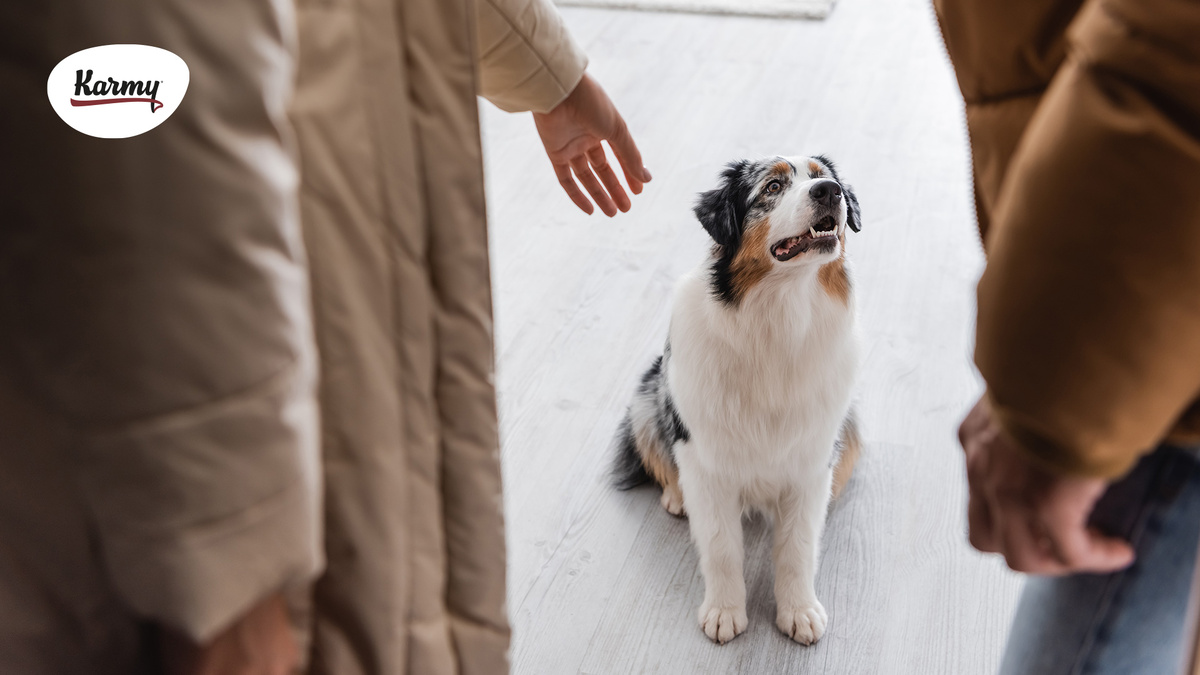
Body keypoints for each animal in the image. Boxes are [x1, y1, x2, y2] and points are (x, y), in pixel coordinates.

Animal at [609, 154, 864, 643]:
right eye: (772, 187)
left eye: (823, 175)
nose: (830, 191)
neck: (778, 317)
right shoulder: (705, 460)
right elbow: (721, 546)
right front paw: (724, 613)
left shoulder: (811, 458)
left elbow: (799, 546)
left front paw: (799, 611)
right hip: (649, 400)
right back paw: (676, 498)